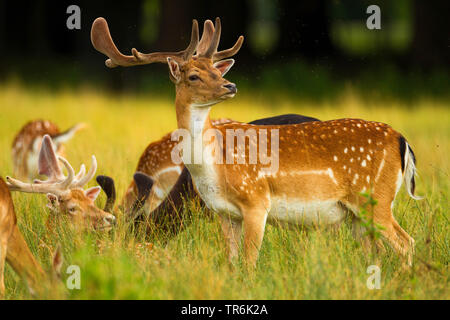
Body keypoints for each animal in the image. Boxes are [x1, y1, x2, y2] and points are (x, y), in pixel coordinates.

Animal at [91, 17, 422, 268]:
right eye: (194, 76)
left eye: (215, 70)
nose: (231, 85)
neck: (213, 166)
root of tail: (402, 140)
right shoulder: (225, 214)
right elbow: (232, 262)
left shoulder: (256, 201)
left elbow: (249, 263)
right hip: (357, 214)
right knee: (377, 250)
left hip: (375, 198)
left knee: (406, 242)